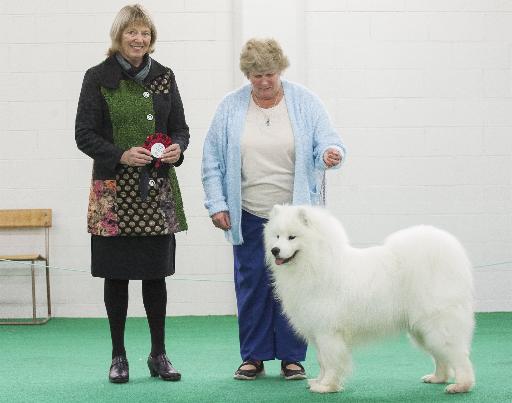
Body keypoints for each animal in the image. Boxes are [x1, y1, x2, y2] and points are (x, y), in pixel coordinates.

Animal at [264, 205, 475, 394]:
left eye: (292, 237)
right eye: (276, 236)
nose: (275, 250)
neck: (316, 263)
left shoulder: (328, 332)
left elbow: (331, 362)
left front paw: (327, 386)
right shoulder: (317, 332)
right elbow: (322, 361)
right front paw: (319, 381)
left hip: (438, 325)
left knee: (458, 356)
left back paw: (461, 386)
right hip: (422, 330)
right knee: (441, 357)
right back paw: (437, 378)